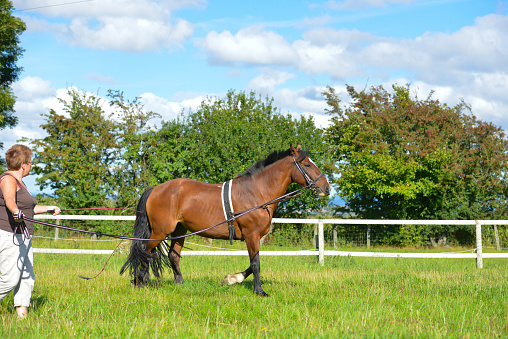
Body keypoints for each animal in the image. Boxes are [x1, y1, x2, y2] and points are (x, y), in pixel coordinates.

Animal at [120, 145, 332, 296]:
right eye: (307, 165)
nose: (327, 187)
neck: (257, 192)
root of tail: (156, 188)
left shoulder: (254, 237)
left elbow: (252, 264)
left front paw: (232, 279)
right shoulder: (251, 235)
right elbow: (256, 263)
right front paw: (259, 291)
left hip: (179, 231)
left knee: (172, 255)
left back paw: (179, 283)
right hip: (160, 231)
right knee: (144, 251)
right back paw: (139, 281)